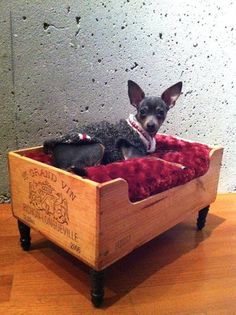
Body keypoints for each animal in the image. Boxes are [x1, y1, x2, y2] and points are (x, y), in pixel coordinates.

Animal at [43, 80, 183, 177]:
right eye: (142, 112)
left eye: (161, 113)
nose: (151, 125)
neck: (140, 131)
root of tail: (57, 164)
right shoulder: (134, 156)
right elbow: (157, 159)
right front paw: (177, 164)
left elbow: (160, 153)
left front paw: (172, 152)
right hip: (99, 146)